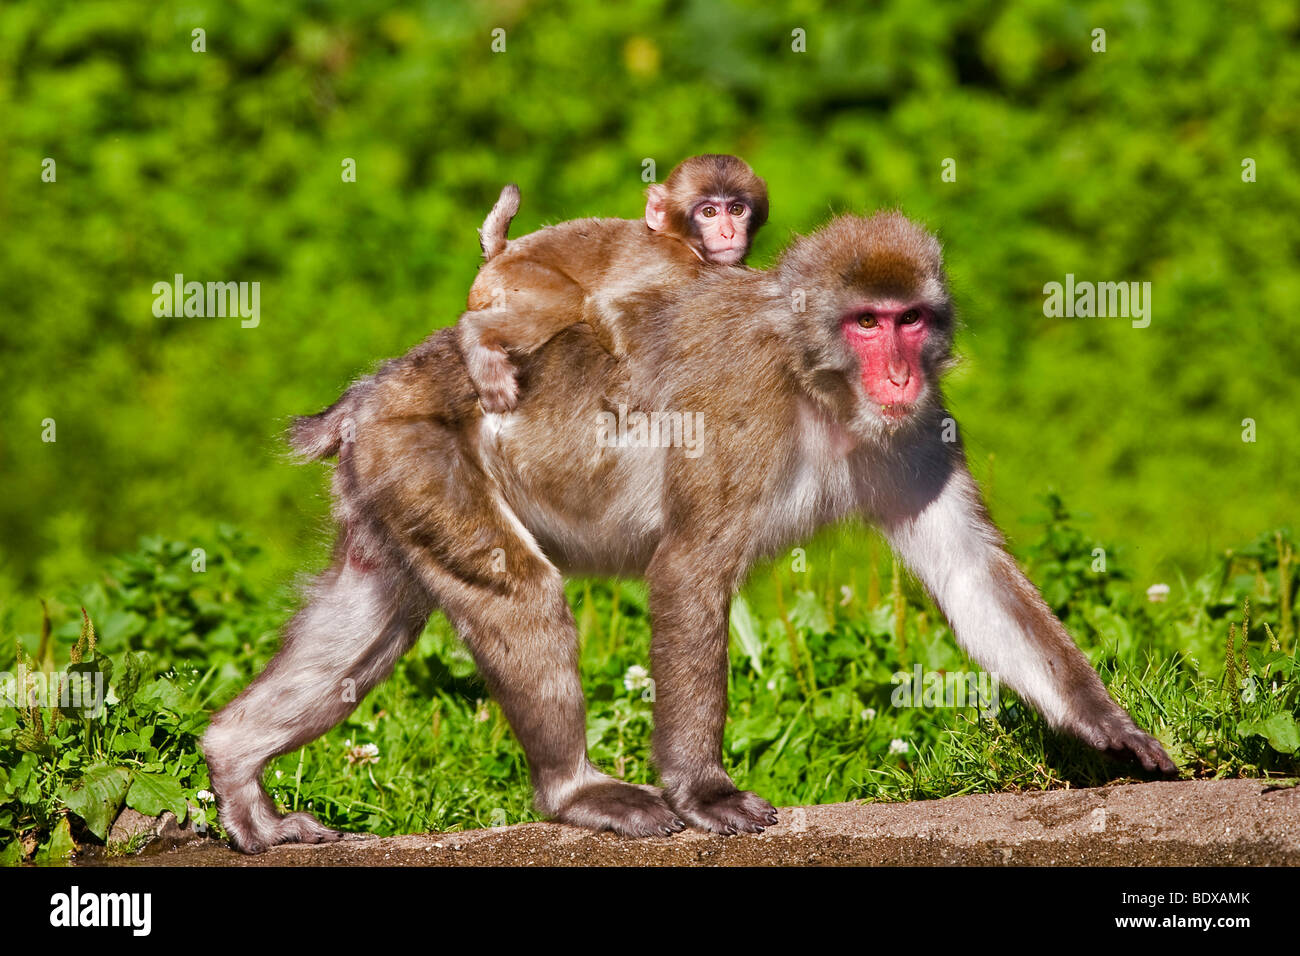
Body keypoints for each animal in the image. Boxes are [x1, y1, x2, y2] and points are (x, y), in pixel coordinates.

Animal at [203, 210, 1176, 853]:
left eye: (910, 320)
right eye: (866, 322)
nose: (898, 371)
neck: (817, 386)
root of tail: (371, 393)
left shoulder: (921, 429)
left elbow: (971, 575)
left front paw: (1106, 726)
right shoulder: (740, 412)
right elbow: (688, 570)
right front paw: (703, 788)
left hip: (389, 481)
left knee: (372, 617)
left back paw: (235, 769)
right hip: (420, 448)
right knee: (515, 586)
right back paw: (575, 791)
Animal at [458, 153, 768, 413]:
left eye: (737, 209)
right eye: (709, 212)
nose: (728, 233)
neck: (687, 247)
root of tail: (503, 251)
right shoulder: (673, 270)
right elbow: (604, 304)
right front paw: (640, 382)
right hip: (512, 276)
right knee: (568, 299)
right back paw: (476, 337)